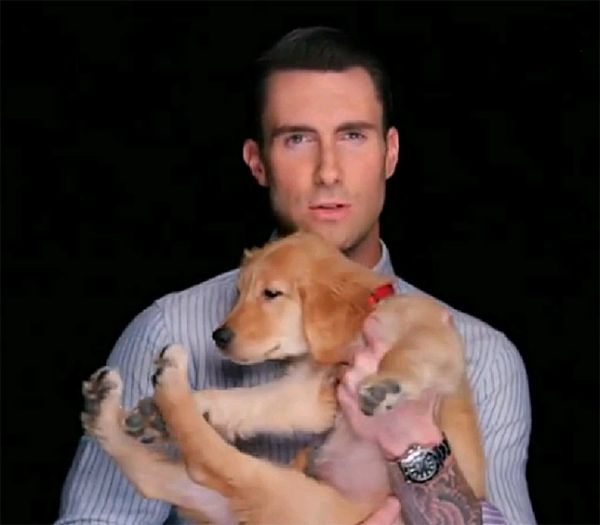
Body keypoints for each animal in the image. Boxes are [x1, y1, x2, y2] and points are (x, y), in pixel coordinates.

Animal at [81, 232, 482, 524]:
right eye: (238, 293)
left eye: (271, 294)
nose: (219, 337)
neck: (351, 335)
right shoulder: (308, 394)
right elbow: (248, 399)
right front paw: (180, 407)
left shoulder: (434, 332)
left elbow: (409, 350)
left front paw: (386, 385)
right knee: (159, 475)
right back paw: (106, 407)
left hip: (300, 501)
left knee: (214, 462)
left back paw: (168, 382)